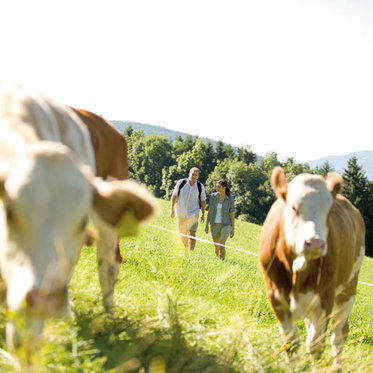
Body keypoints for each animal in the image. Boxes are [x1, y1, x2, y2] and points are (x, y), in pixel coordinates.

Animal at [258, 167, 364, 370]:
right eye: (293, 207)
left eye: (329, 210)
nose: (315, 243)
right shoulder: (275, 295)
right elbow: (291, 342)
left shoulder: (325, 298)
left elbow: (316, 346)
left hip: (348, 290)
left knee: (338, 335)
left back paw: (337, 367)